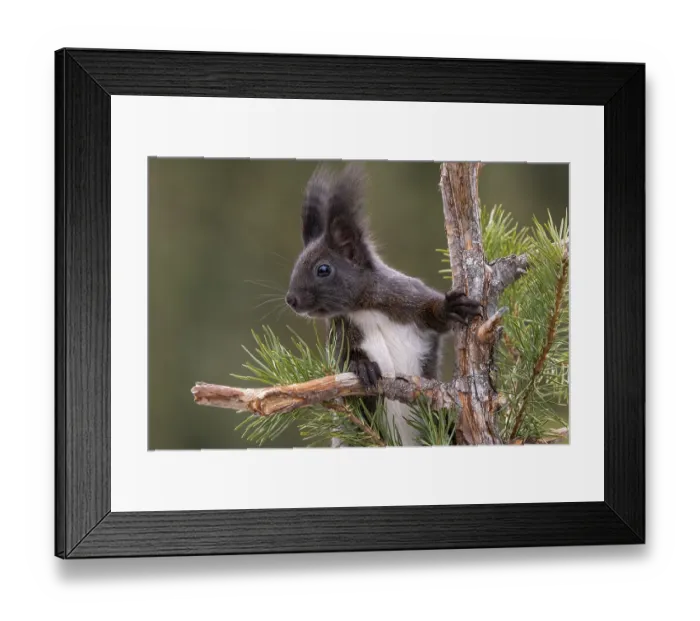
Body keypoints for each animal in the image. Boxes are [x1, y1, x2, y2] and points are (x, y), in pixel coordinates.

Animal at [285, 164, 482, 446]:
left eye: (323, 269)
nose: (291, 299)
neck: (364, 309)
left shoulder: (405, 297)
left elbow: (434, 315)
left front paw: (451, 307)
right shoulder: (339, 335)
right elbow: (342, 371)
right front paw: (361, 366)